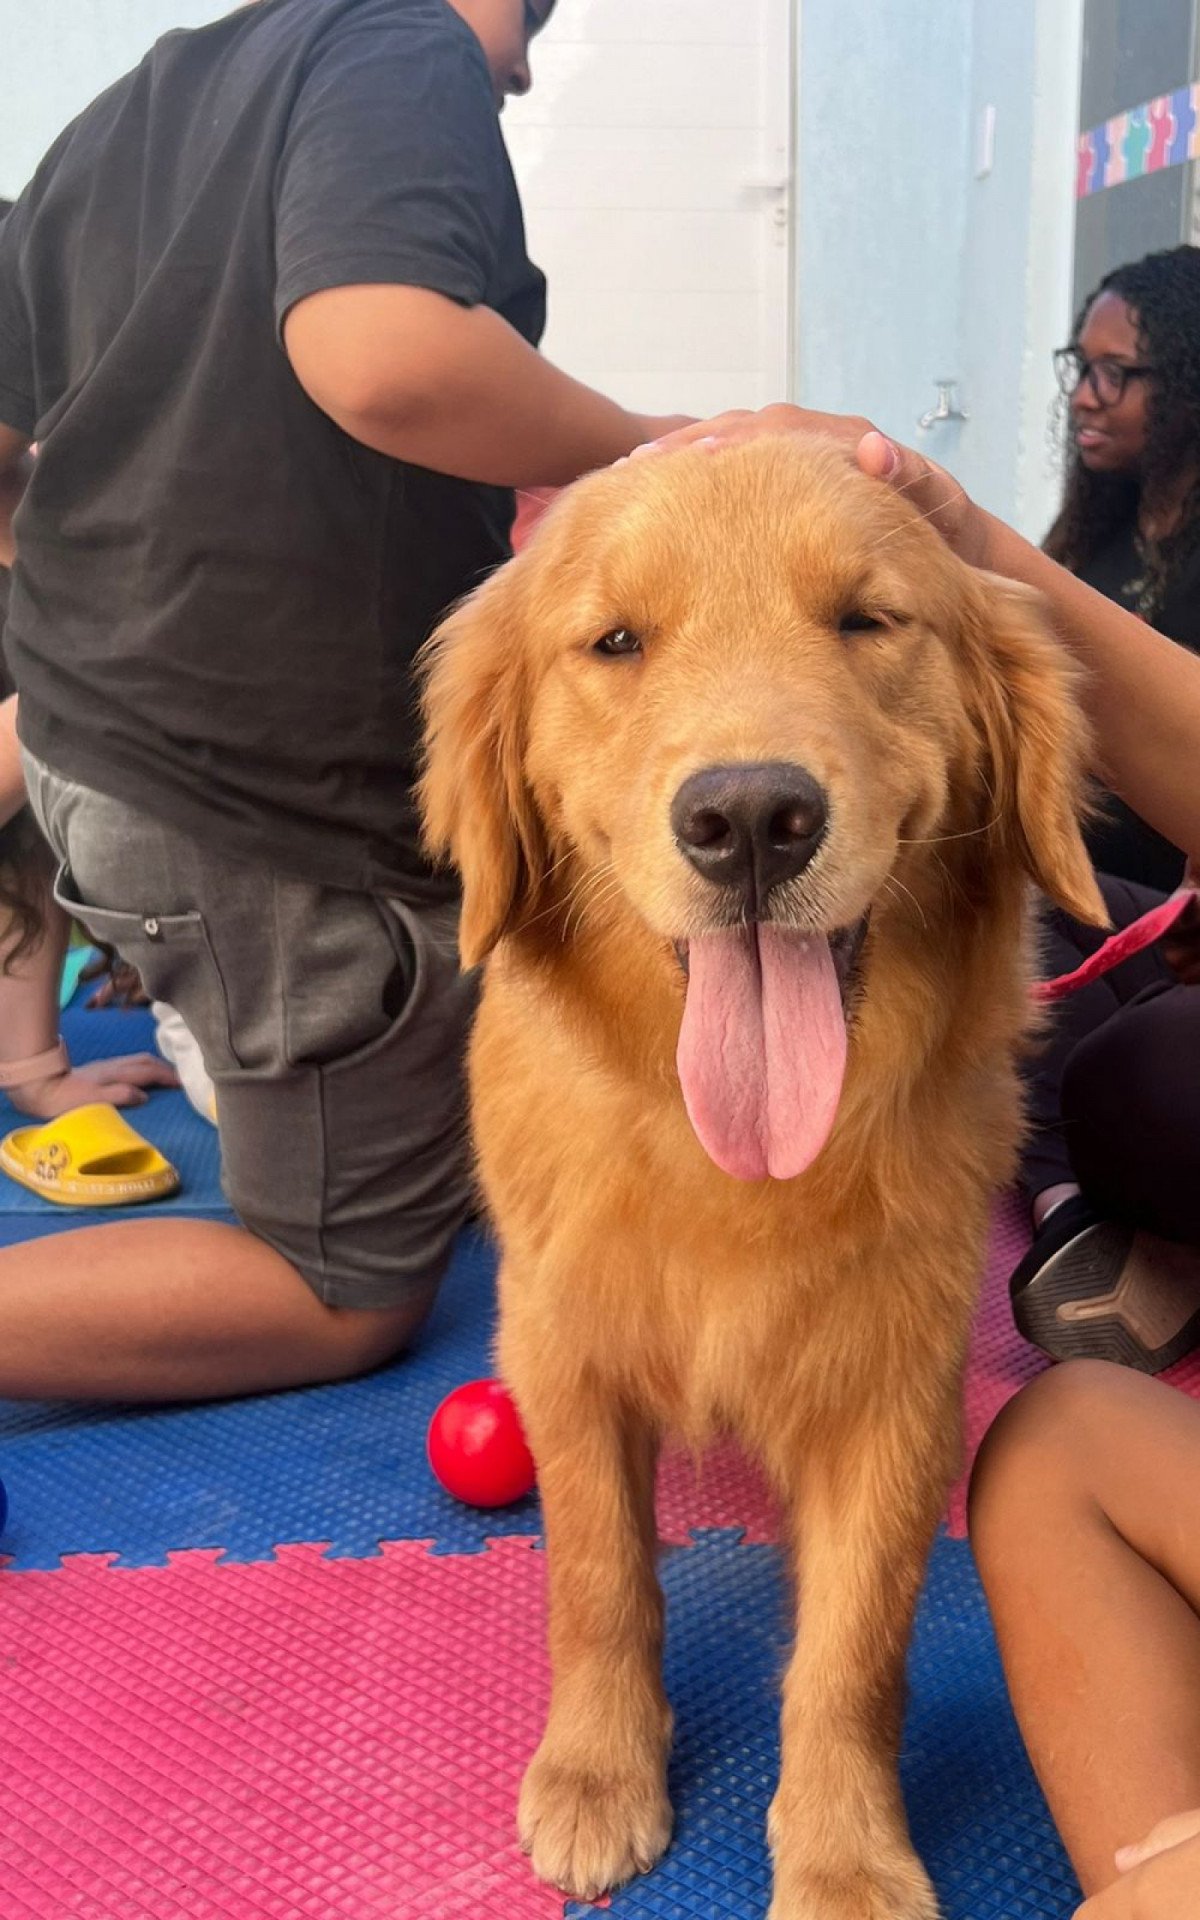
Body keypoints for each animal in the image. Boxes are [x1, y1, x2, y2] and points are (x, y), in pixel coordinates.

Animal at [418, 439, 1105, 1920]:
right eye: (616, 641)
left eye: (867, 619)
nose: (748, 819)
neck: (726, 1163)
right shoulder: (561, 1347)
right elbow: (598, 1578)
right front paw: (597, 1773)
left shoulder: (895, 1389)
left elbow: (854, 1650)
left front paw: (846, 1861)